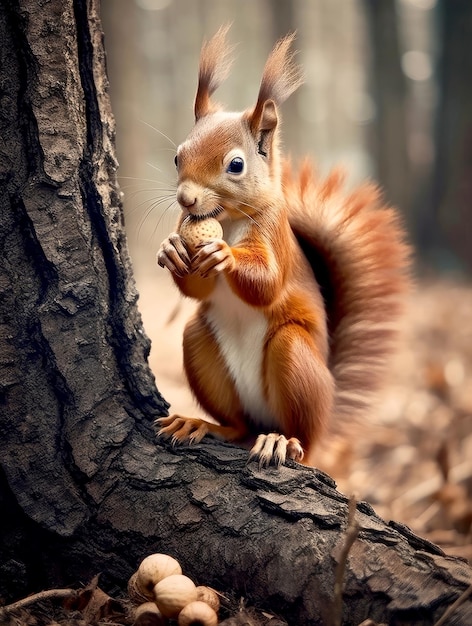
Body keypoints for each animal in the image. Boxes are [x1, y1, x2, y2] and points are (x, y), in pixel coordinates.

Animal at [157, 25, 412, 464]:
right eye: (177, 157)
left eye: (236, 165)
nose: (186, 200)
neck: (228, 220)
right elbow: (196, 288)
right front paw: (171, 250)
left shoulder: (274, 232)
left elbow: (267, 284)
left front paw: (224, 255)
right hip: (199, 344)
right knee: (238, 425)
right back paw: (203, 424)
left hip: (294, 359)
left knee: (301, 438)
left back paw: (283, 441)